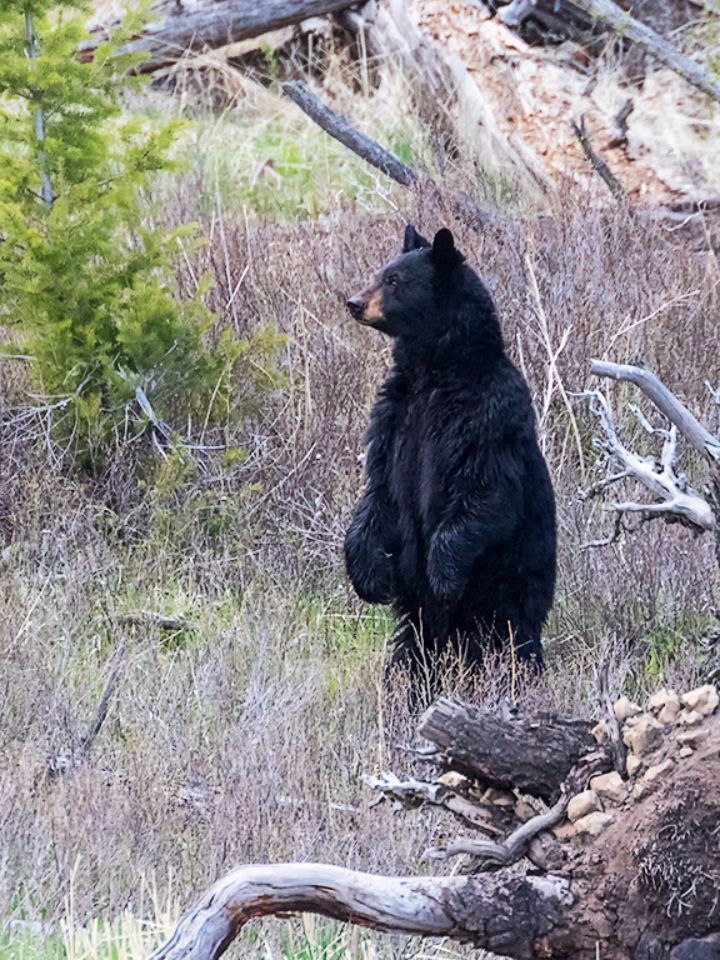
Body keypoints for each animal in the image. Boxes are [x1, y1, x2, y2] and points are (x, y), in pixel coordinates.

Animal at [343, 225, 556, 691]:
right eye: (380, 272)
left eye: (394, 281)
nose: (353, 302)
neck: (435, 372)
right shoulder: (394, 416)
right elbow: (378, 490)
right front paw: (369, 576)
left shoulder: (486, 417)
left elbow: (486, 492)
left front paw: (443, 574)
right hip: (418, 622)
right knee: (410, 653)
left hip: (511, 593)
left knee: (515, 645)